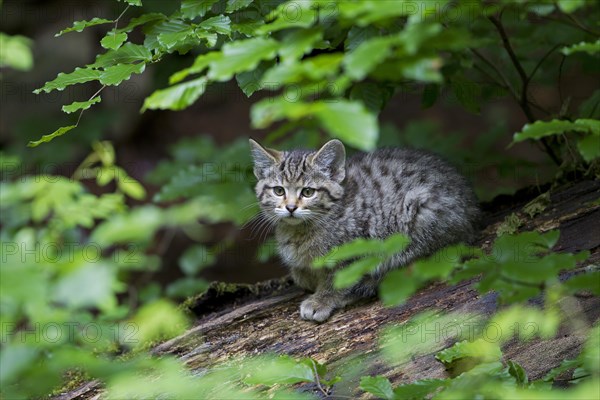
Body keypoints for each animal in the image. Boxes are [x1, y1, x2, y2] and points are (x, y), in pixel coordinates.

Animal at [248, 138, 478, 322]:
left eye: (307, 192)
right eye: (279, 191)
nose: (290, 207)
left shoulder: (358, 244)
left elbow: (340, 277)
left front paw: (321, 300)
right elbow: (300, 272)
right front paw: (305, 277)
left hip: (420, 213)